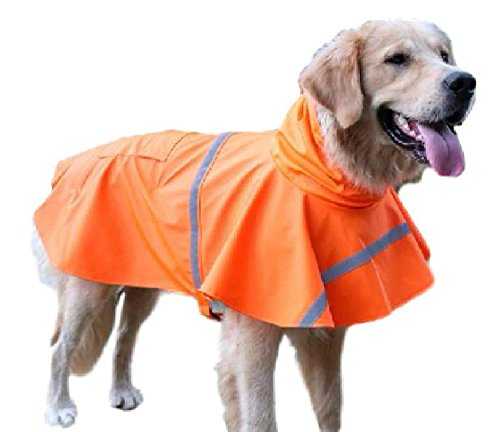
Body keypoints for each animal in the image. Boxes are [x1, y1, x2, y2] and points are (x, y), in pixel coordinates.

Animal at [33, 20, 475, 431]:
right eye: (397, 59)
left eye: (444, 55)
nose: (465, 83)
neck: (319, 172)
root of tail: (72, 161)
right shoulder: (254, 332)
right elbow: (261, 415)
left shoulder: (326, 333)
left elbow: (329, 409)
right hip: (89, 288)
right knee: (58, 348)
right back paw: (58, 408)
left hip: (142, 284)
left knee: (125, 336)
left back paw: (122, 390)